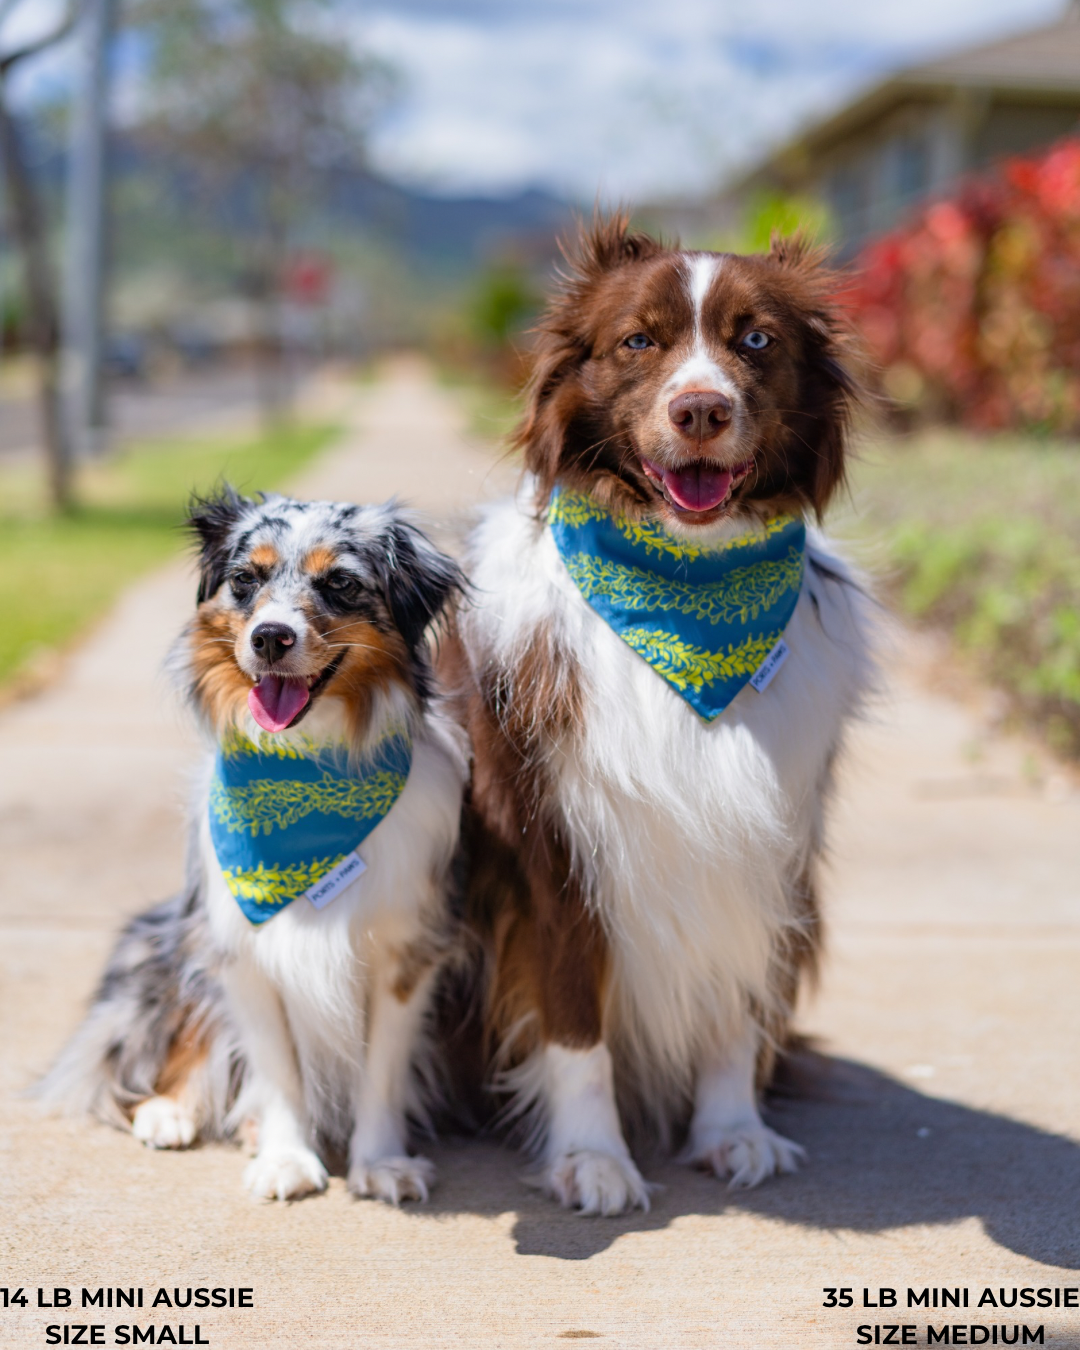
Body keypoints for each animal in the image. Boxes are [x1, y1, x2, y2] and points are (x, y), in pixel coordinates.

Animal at [442, 218, 874, 1215]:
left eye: (756, 340)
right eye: (638, 340)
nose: (701, 411)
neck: (690, 586)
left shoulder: (767, 847)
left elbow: (734, 995)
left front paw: (732, 1130)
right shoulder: (554, 851)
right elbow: (573, 1020)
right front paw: (593, 1157)